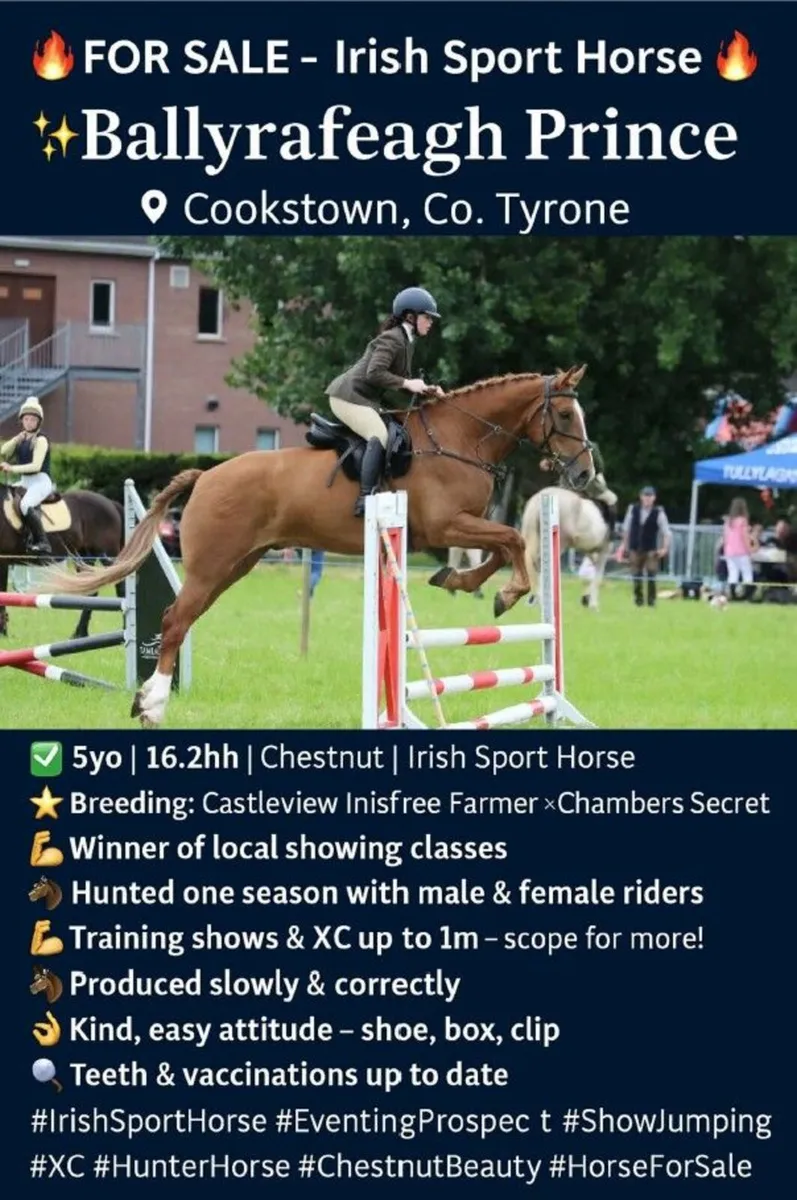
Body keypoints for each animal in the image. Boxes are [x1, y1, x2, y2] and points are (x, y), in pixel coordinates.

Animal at [0, 484, 125, 639]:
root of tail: (111, 503)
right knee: (91, 591)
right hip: (84, 557)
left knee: (121, 586)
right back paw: (80, 633)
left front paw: (2, 632)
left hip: (107, 555)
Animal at [39, 366, 596, 727]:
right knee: (175, 620)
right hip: (213, 564)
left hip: (235, 565)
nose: (586, 475)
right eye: (567, 416)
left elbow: (502, 547)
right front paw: (506, 593)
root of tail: (207, 475)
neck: (460, 437)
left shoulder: (454, 529)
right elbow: (511, 542)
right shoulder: (446, 527)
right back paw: (151, 705)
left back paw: (149, 702)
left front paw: (464, 582)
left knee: (183, 618)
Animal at [522, 483, 618, 612]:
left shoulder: (590, 551)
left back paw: (536, 600)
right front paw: (593, 605)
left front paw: (586, 599)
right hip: (559, 542)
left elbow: (588, 575)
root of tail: (539, 499)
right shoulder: (604, 550)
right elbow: (597, 577)